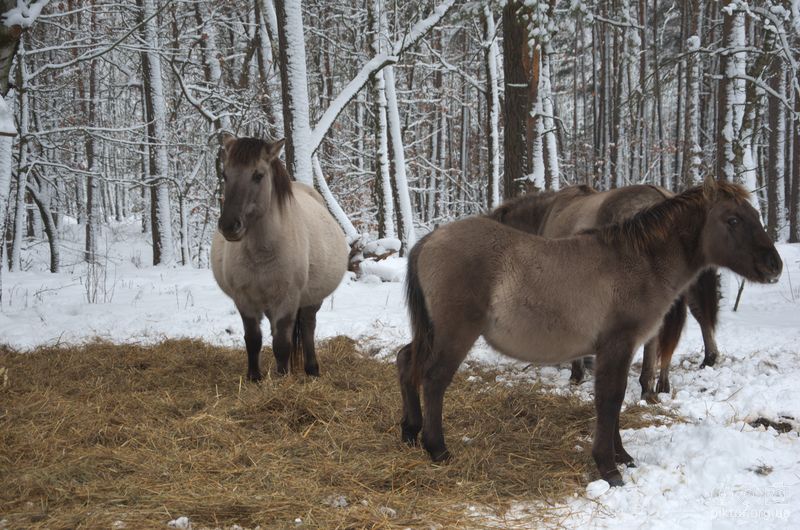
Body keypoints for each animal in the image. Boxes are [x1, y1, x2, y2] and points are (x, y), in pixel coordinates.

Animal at [211, 134, 348, 378]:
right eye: (225, 175)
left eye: (258, 175)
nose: (229, 226)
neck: (261, 253)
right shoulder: (244, 300)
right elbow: (253, 340)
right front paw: (254, 378)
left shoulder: (287, 299)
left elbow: (282, 344)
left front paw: (282, 378)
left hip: (310, 300)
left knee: (308, 326)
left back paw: (312, 369)